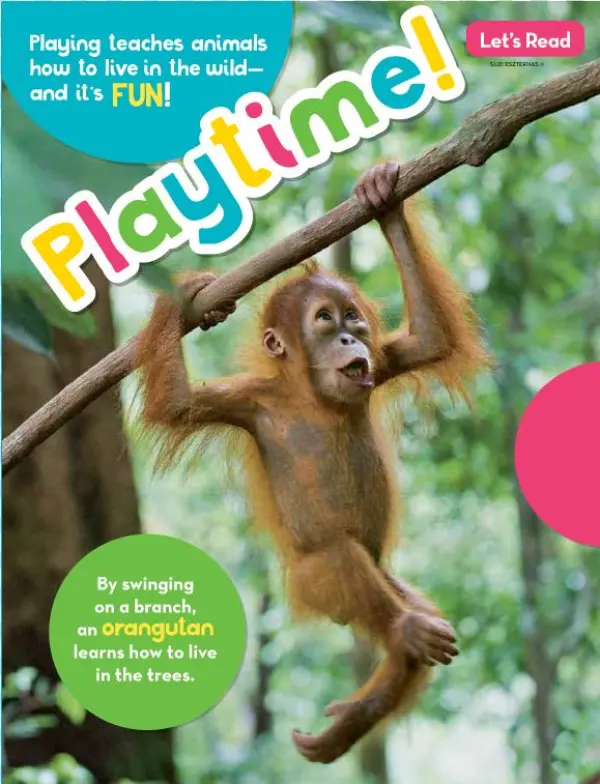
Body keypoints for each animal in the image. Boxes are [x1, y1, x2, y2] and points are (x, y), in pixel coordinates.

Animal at [135, 161, 490, 764]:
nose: (349, 337)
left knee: (402, 601)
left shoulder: (384, 360)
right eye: (324, 321)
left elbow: (430, 339)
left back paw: (364, 705)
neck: (311, 394)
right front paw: (184, 294)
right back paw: (406, 636)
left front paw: (380, 197)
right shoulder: (247, 401)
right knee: (339, 558)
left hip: (384, 576)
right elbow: (176, 404)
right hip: (310, 580)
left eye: (354, 318)